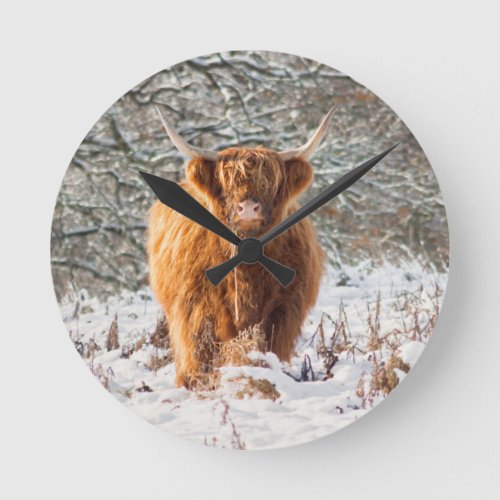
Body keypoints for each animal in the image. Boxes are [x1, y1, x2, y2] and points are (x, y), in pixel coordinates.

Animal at [147, 107, 336, 388]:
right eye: (228, 182)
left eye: (269, 182)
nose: (248, 208)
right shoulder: (195, 306)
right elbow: (199, 350)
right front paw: (195, 382)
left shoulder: (284, 308)